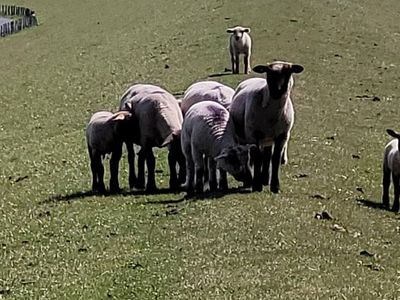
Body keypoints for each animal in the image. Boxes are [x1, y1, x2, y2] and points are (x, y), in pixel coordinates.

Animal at [228, 59, 304, 193]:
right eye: (268, 72)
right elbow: (257, 158)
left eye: (288, 72)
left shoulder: (282, 136)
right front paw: (257, 185)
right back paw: (252, 181)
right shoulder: (253, 135)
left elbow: (275, 159)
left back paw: (265, 179)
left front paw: (275, 186)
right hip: (245, 137)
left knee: (267, 156)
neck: (272, 116)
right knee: (251, 156)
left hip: (268, 138)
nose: (276, 91)